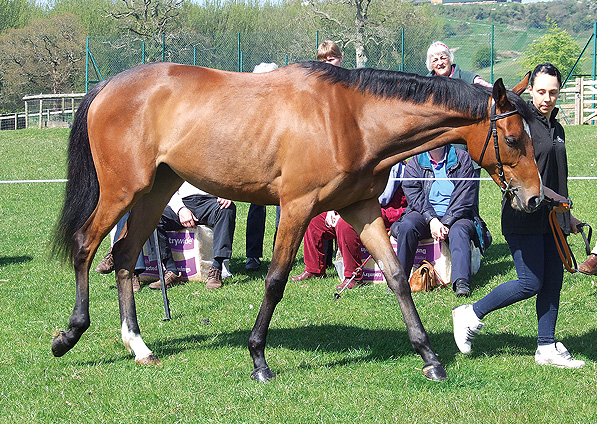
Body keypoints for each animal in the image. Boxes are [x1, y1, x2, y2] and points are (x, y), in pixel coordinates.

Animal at [53, 61, 544, 382]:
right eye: (513, 139)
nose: (535, 198)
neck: (351, 118)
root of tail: (107, 87)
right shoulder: (294, 207)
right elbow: (275, 281)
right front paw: (258, 359)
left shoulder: (362, 209)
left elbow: (397, 277)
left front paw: (429, 356)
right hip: (122, 191)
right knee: (85, 245)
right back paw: (70, 334)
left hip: (154, 191)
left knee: (123, 255)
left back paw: (138, 345)